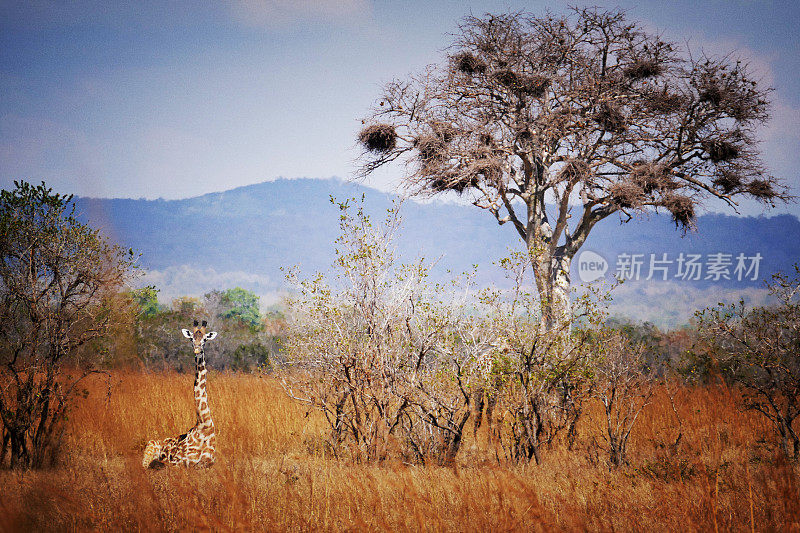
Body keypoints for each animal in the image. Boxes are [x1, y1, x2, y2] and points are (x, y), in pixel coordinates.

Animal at [143, 320, 219, 466]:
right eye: (191, 339)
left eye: (205, 339)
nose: (197, 349)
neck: (205, 424)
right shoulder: (178, 461)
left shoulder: (209, 462)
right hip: (150, 447)